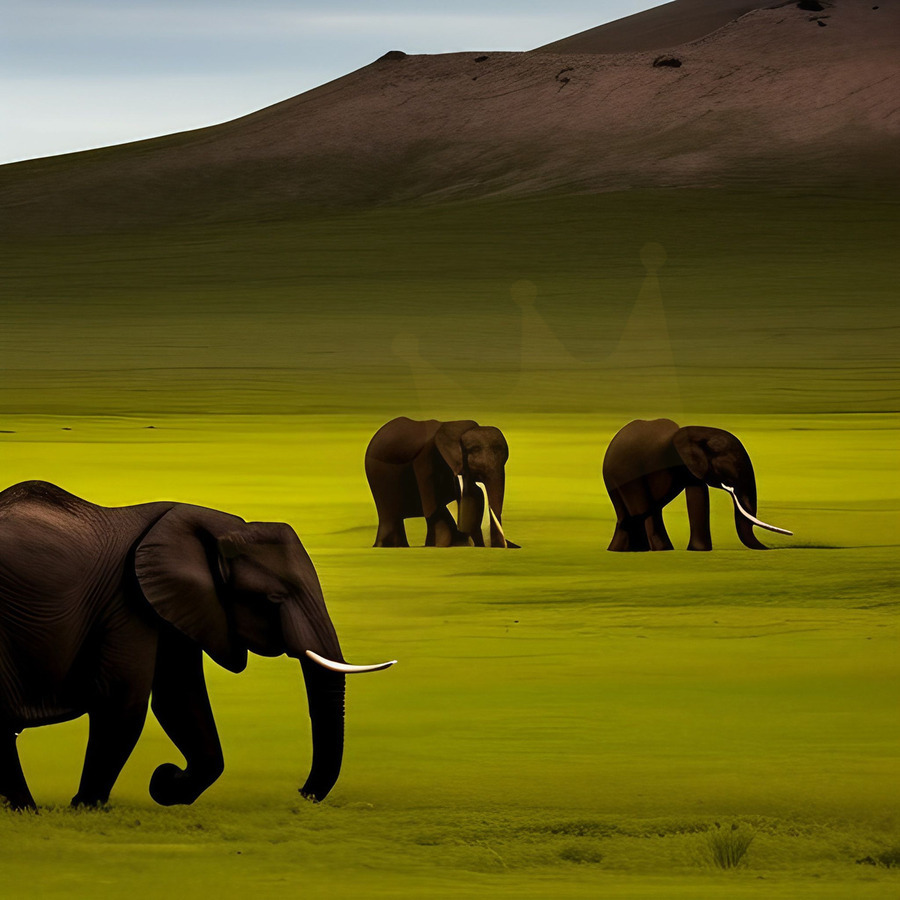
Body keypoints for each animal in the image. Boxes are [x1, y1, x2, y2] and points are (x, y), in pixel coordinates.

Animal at [0, 481, 395, 811]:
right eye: (272, 599)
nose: (301, 793)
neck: (216, 525)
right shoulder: (126, 602)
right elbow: (123, 699)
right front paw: (88, 806)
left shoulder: (174, 604)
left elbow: (180, 696)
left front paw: (166, 785)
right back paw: (26, 810)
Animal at [365, 417, 518, 548]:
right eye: (474, 450)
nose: (509, 545)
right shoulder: (426, 459)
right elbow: (433, 507)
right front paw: (442, 545)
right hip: (378, 476)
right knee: (389, 514)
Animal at [603, 418, 792, 551]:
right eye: (728, 467)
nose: (791, 535)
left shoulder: (692, 470)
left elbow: (699, 495)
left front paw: (699, 550)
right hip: (626, 474)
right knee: (644, 510)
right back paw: (659, 549)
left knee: (631, 515)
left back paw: (624, 550)